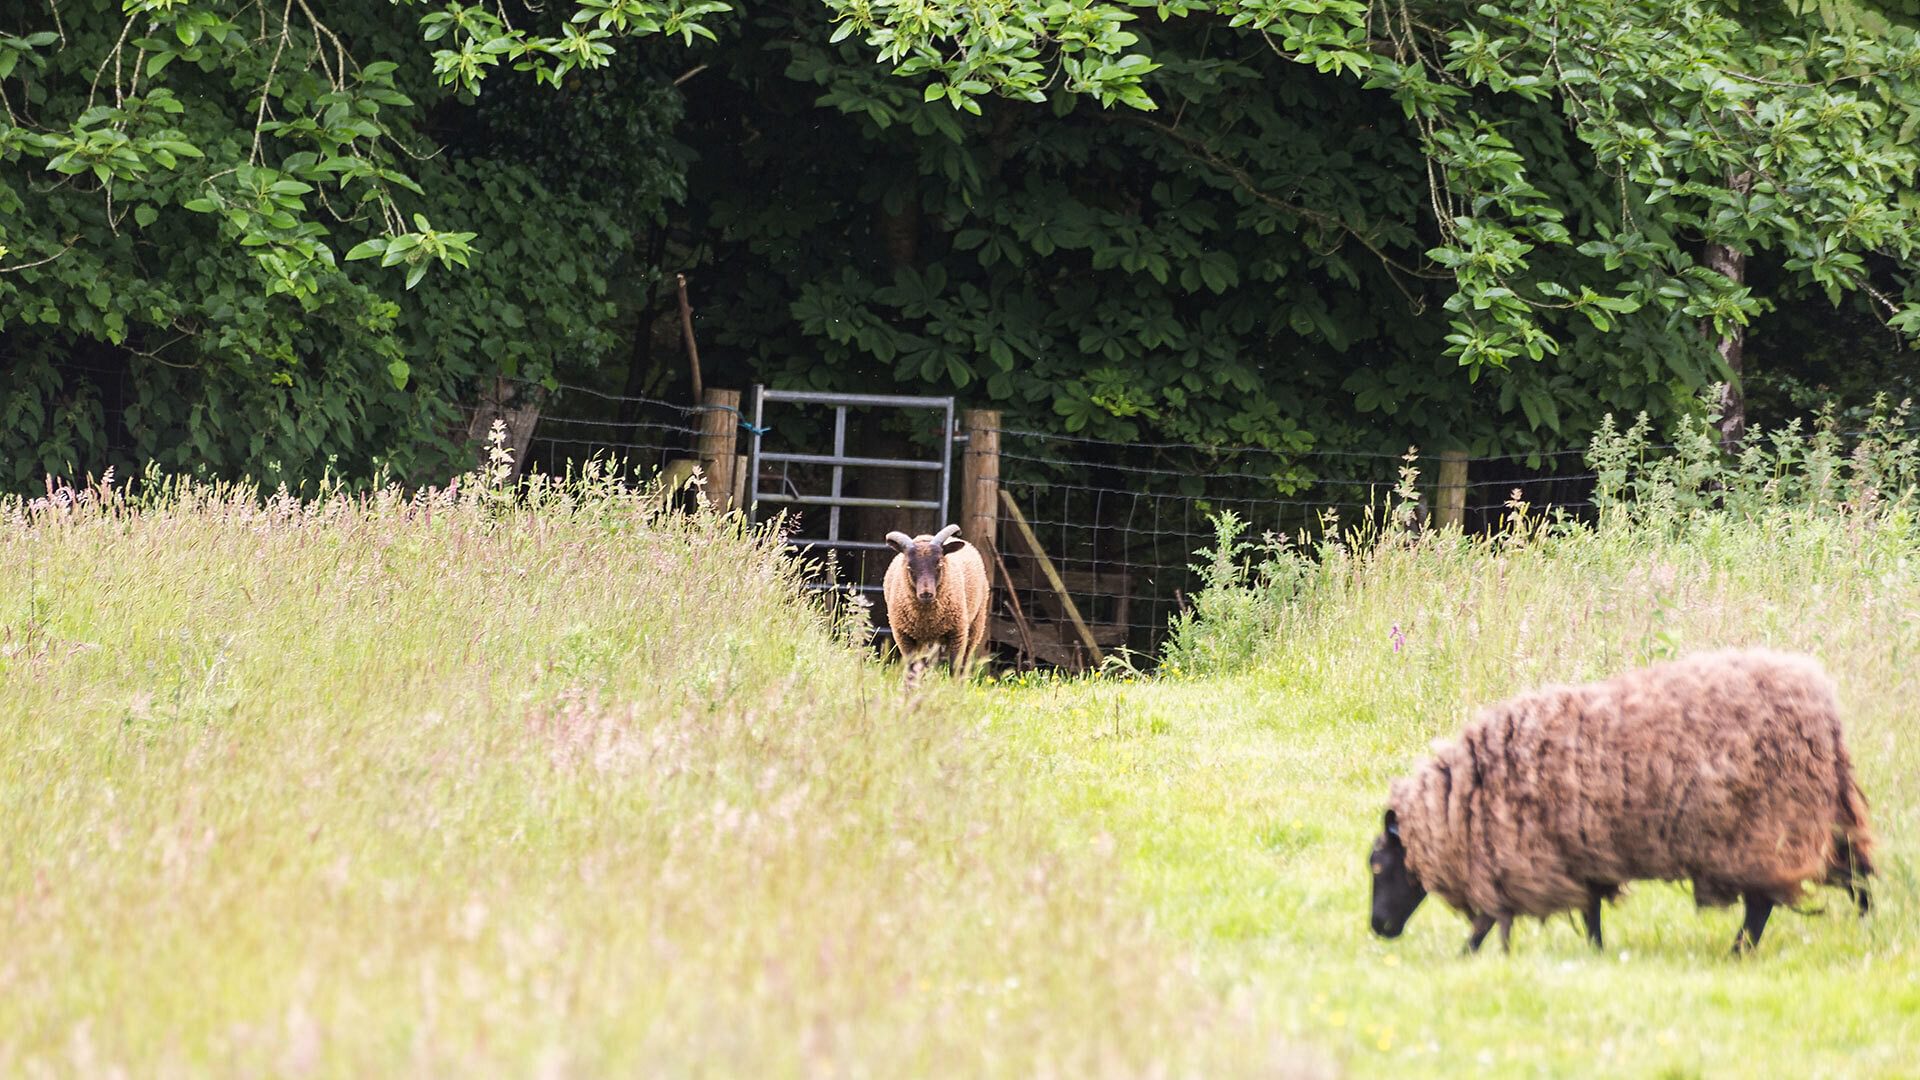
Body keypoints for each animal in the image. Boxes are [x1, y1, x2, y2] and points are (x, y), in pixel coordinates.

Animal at [883, 518, 990, 680]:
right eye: (909, 567)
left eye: (939, 564)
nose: (926, 594)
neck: (927, 619)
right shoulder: (903, 636)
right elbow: (911, 670)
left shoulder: (958, 633)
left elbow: (955, 669)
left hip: (975, 625)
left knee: (964, 662)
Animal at [1367, 645, 1873, 949]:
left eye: (1377, 865)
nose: (1378, 929)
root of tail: (1821, 704)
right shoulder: (1577, 853)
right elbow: (1589, 911)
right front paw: (1596, 954)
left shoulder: (1520, 857)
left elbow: (1492, 917)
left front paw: (1467, 955)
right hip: (1821, 814)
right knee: (1856, 871)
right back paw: (1867, 928)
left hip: (1764, 829)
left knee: (1765, 903)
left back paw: (1740, 952)